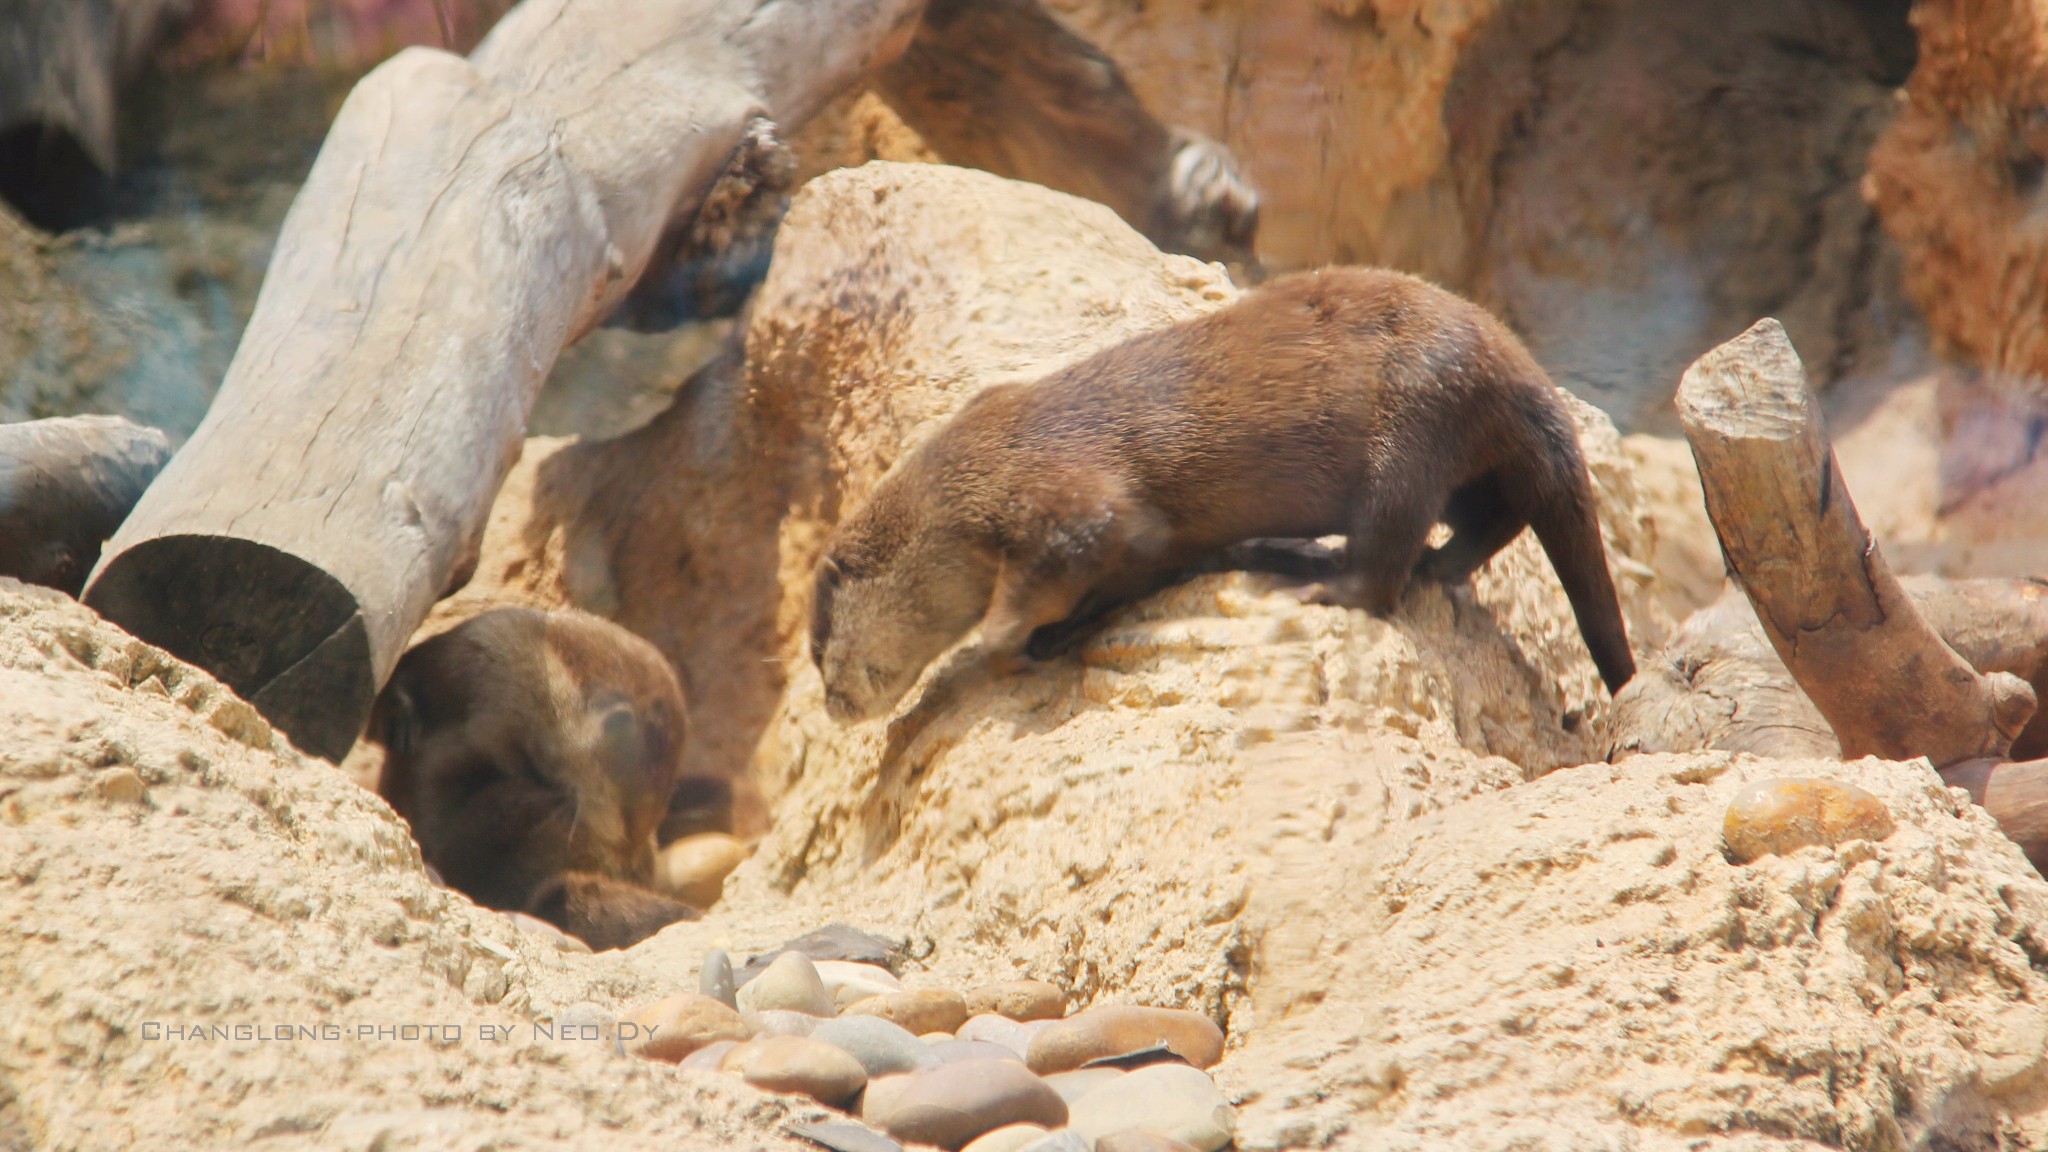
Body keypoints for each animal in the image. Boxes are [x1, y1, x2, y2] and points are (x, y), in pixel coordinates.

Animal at [806, 264, 1638, 721]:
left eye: (816, 651)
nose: (833, 706)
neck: (978, 472)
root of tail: (1518, 364)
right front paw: (1064, 630)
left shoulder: (1061, 495)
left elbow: (1044, 577)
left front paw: (1013, 647)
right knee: (1493, 515)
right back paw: (1442, 568)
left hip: (1417, 410)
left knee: (1387, 550)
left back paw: (1319, 582)